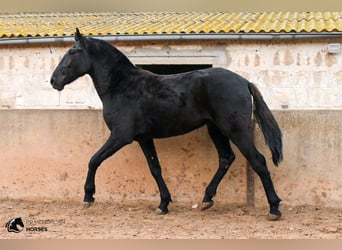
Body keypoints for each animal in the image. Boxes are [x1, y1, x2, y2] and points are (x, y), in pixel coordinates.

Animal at [49, 29, 282, 220]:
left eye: (74, 51)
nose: (53, 81)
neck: (121, 85)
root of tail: (245, 82)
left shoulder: (120, 136)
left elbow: (94, 160)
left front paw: (88, 196)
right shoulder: (144, 138)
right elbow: (155, 169)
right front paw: (163, 204)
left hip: (235, 131)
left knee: (258, 161)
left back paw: (274, 208)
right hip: (215, 129)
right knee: (226, 158)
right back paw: (207, 199)